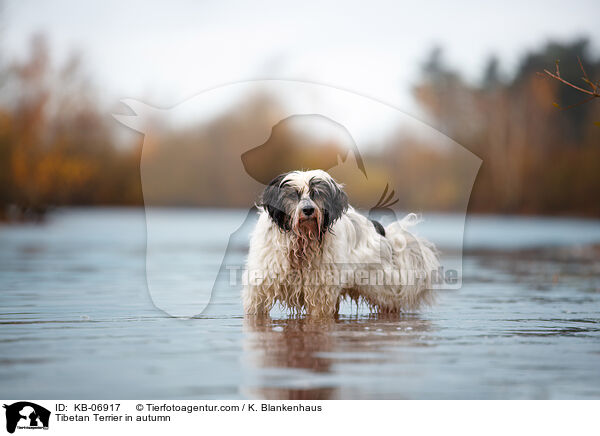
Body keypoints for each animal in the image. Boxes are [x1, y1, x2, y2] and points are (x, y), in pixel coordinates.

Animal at [241, 169, 438, 316]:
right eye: (293, 195)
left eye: (316, 194)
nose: (308, 210)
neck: (301, 244)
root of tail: (381, 232)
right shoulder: (258, 291)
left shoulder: (320, 294)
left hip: (382, 288)